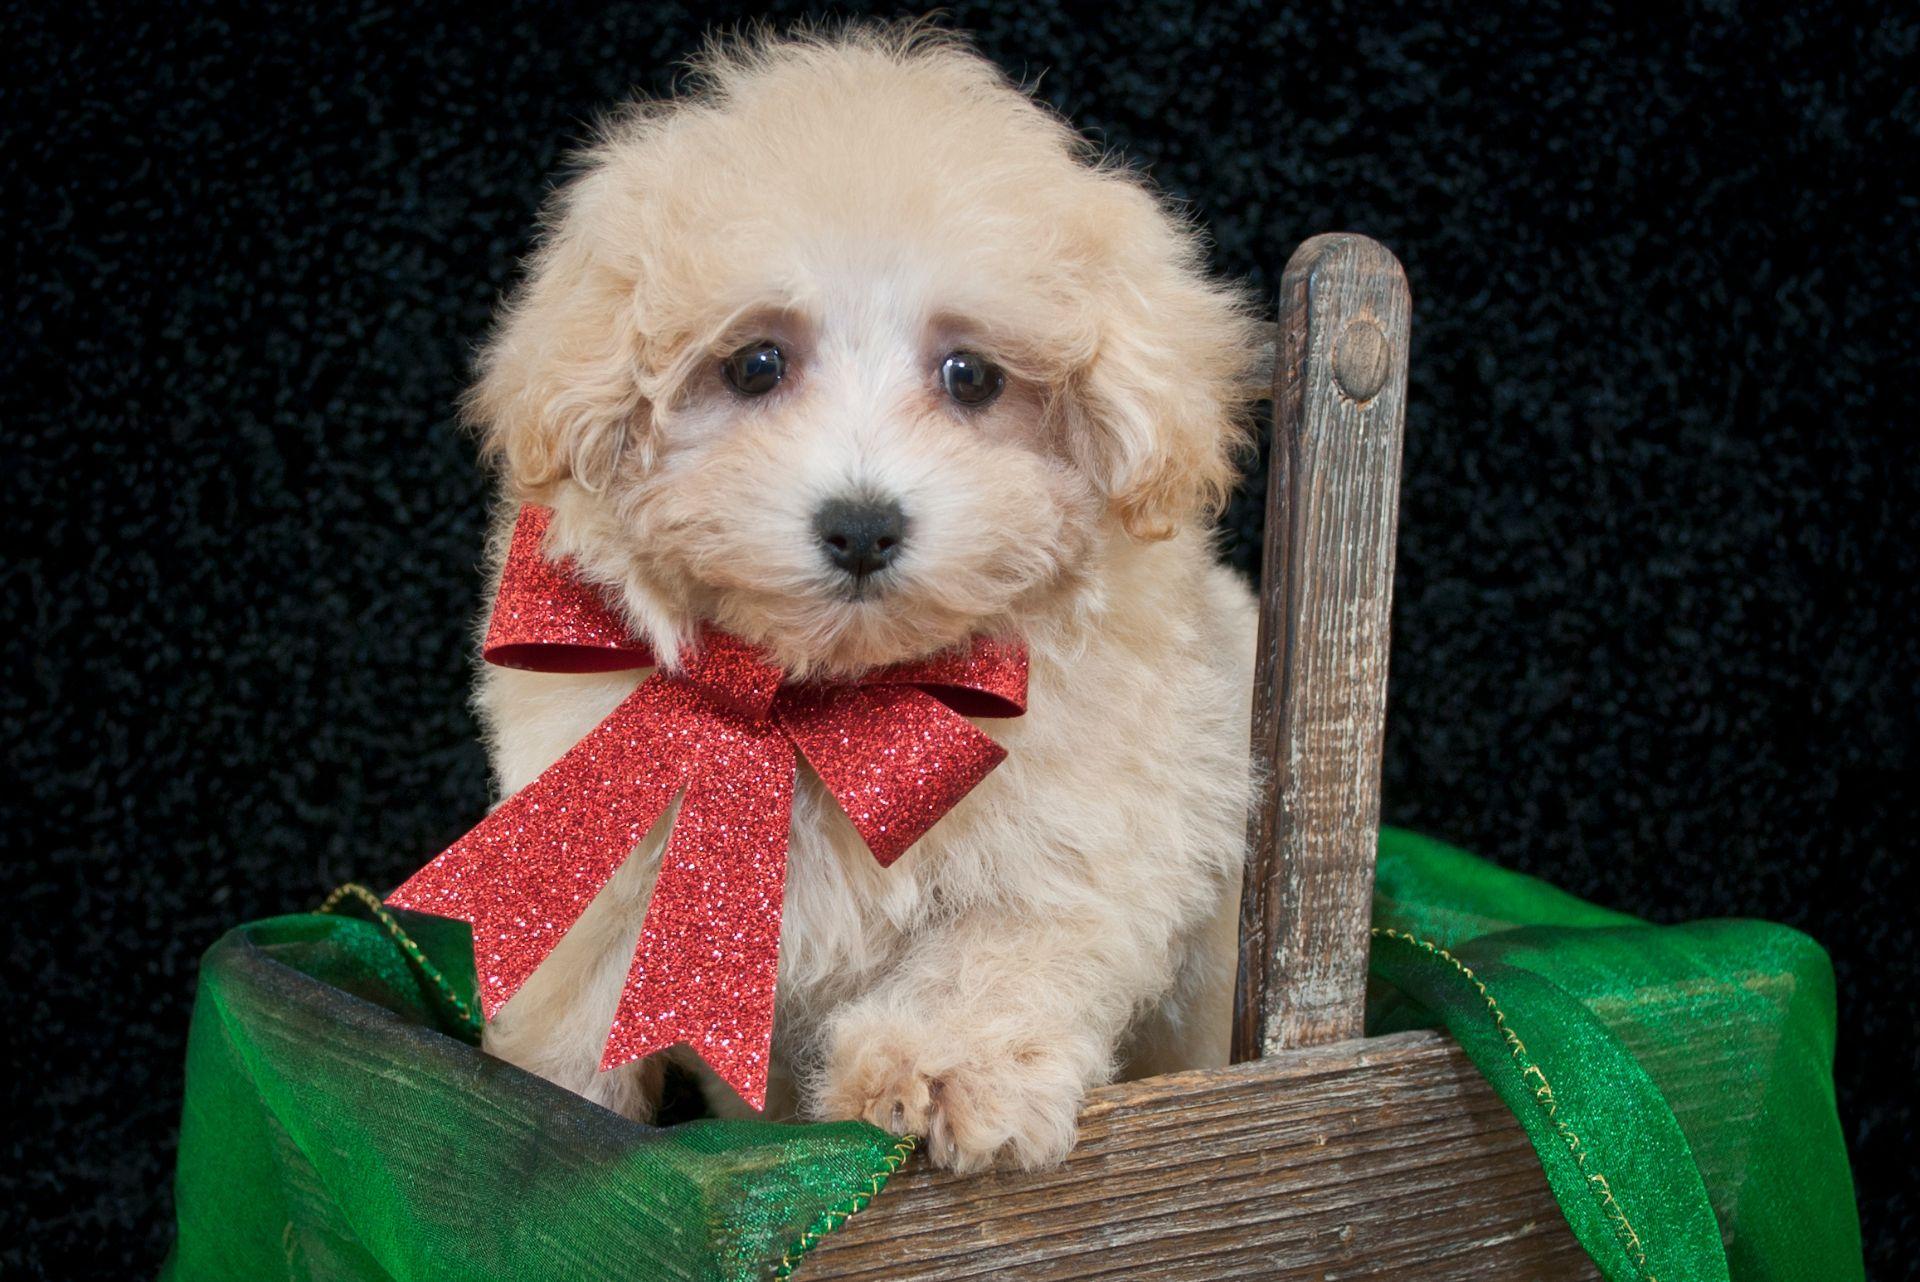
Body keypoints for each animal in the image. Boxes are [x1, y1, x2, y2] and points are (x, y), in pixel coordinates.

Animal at [474, 27, 1267, 1174]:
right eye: (756, 363)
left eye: (972, 376)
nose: (860, 524)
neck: (826, 703)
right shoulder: (598, 851)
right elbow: (581, 997)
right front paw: (546, 1116)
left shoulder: (1093, 832)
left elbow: (1001, 948)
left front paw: (941, 1069)